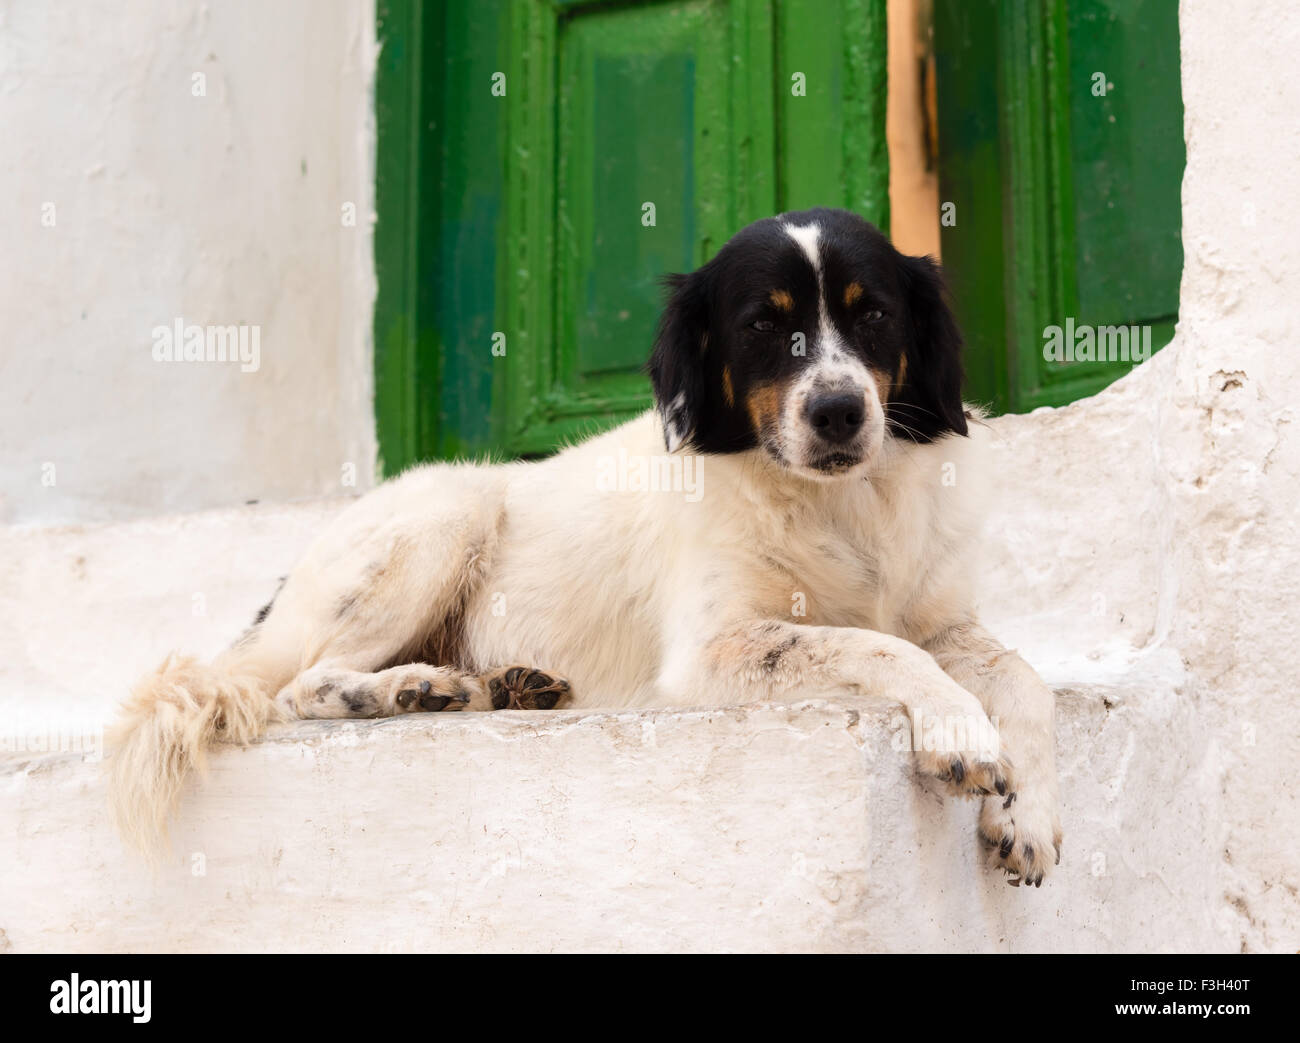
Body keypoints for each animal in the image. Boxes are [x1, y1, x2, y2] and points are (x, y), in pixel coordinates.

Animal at [111, 206, 1060, 884]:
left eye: (875, 316)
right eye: (762, 325)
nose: (838, 411)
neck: (839, 505)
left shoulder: (940, 615)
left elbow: (1021, 673)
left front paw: (1030, 814)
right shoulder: (713, 652)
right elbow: (879, 645)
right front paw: (961, 731)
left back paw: (498, 685)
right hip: (447, 512)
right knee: (299, 686)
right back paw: (413, 688)